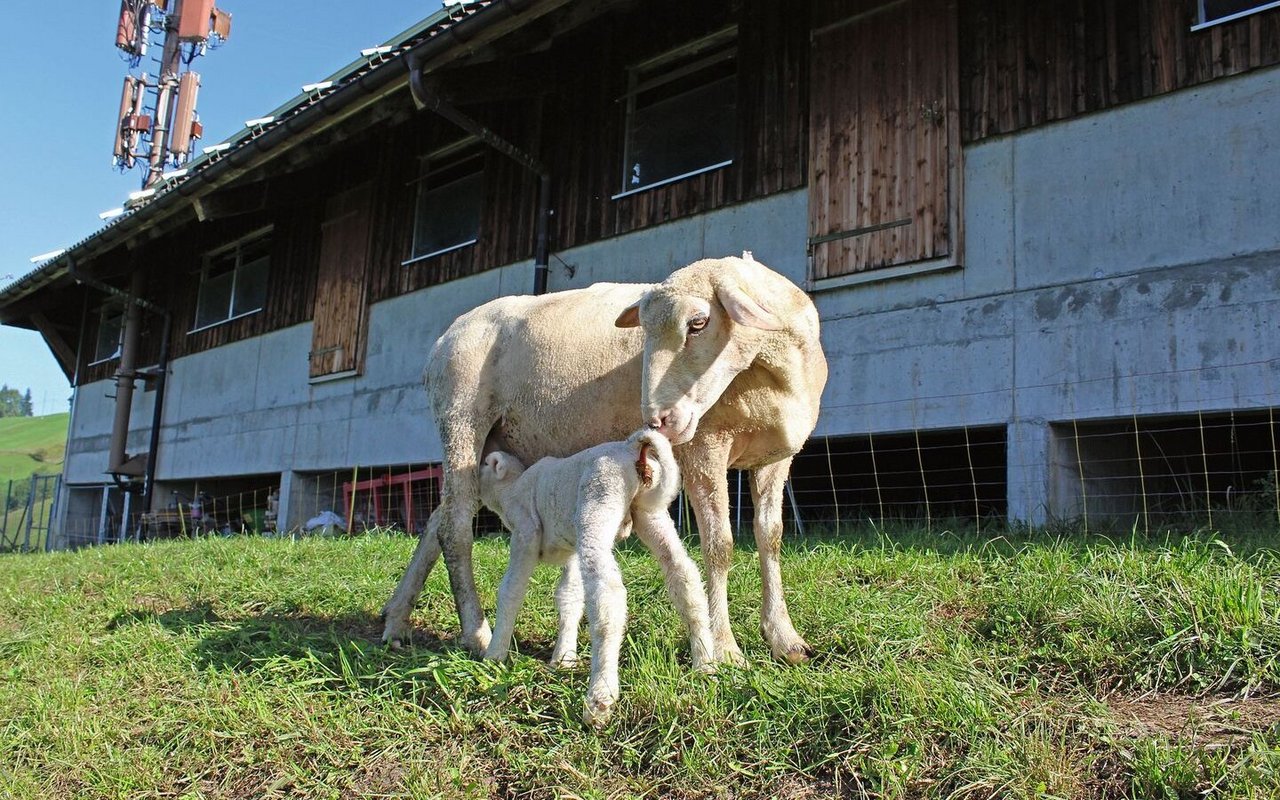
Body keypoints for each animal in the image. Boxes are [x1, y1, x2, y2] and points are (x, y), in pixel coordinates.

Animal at [376, 254, 829, 660]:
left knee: (440, 517)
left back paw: (396, 621)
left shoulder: (774, 460)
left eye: (698, 323)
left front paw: (785, 639)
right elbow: (720, 545)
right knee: (455, 528)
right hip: (461, 419)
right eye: (644, 332)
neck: (773, 373)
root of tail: (443, 340)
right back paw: (476, 632)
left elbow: (770, 537)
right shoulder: (705, 446)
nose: (657, 420)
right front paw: (726, 649)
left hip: (490, 446)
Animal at [481, 427, 721, 727]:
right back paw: (705, 662)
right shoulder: (571, 548)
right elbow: (569, 597)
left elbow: (511, 591)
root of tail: (630, 449)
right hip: (649, 514)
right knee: (683, 575)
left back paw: (600, 698)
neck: (511, 489)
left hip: (598, 504)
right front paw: (563, 658)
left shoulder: (525, 532)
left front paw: (494, 655)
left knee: (608, 596)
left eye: (483, 465)